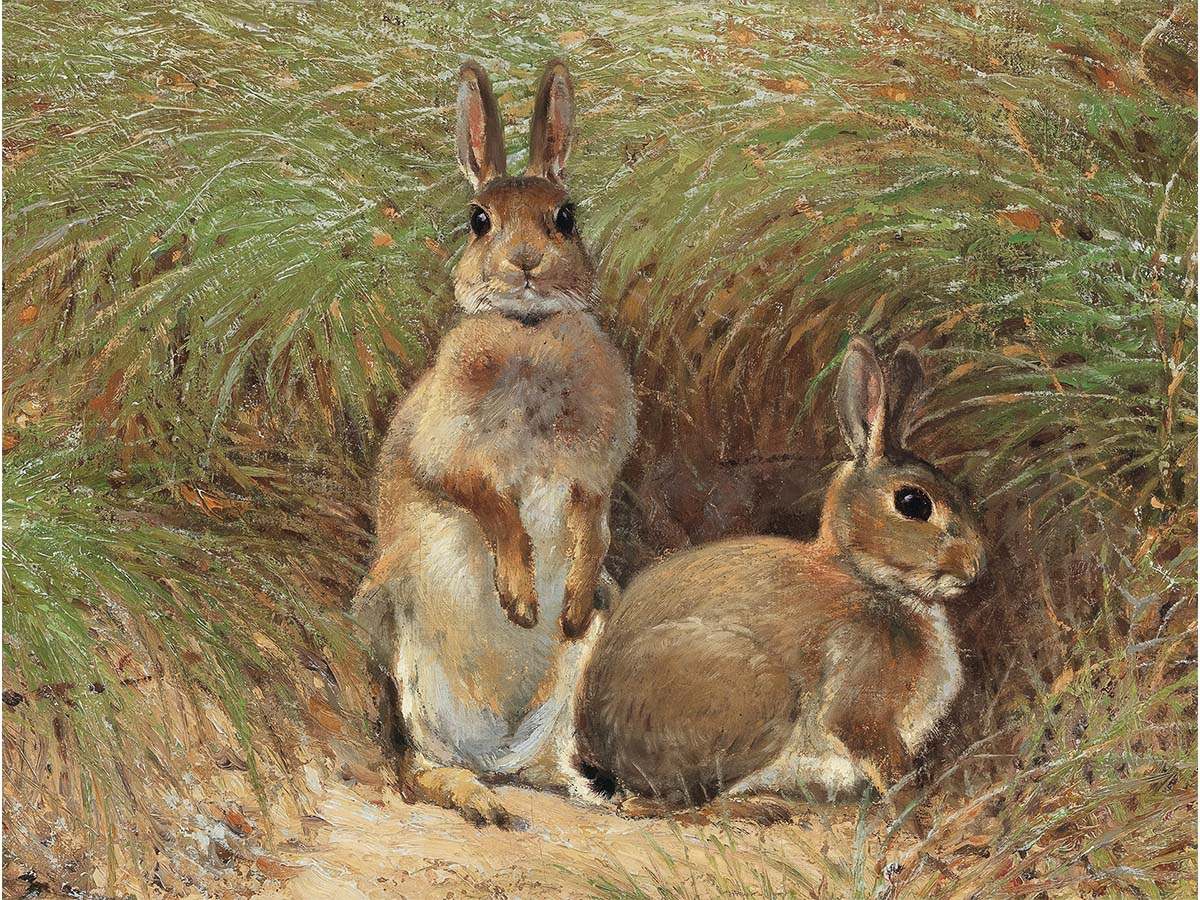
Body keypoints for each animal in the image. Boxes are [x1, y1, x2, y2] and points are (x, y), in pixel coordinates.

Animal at [353, 58, 635, 828]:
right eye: (479, 221)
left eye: (566, 216)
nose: (527, 262)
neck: (528, 332)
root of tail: (498, 747)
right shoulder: (448, 455)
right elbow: (492, 505)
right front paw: (519, 599)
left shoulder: (593, 475)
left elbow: (593, 523)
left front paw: (562, 605)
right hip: (407, 652)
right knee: (415, 765)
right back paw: (476, 798)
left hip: (574, 672)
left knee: (549, 760)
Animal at [572, 336, 984, 820]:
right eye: (913, 503)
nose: (976, 567)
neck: (867, 577)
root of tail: (600, 754)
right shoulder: (860, 702)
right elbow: (888, 765)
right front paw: (915, 812)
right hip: (759, 697)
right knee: (671, 804)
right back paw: (761, 807)